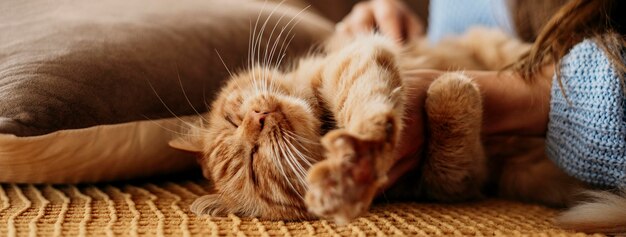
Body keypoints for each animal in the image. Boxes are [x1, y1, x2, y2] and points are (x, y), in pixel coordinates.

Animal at [169, 27, 624, 233]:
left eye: (235, 120)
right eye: (252, 164)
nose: (258, 118)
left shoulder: (352, 57)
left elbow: (364, 96)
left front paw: (361, 147)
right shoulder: (461, 181)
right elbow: (447, 152)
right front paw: (453, 93)